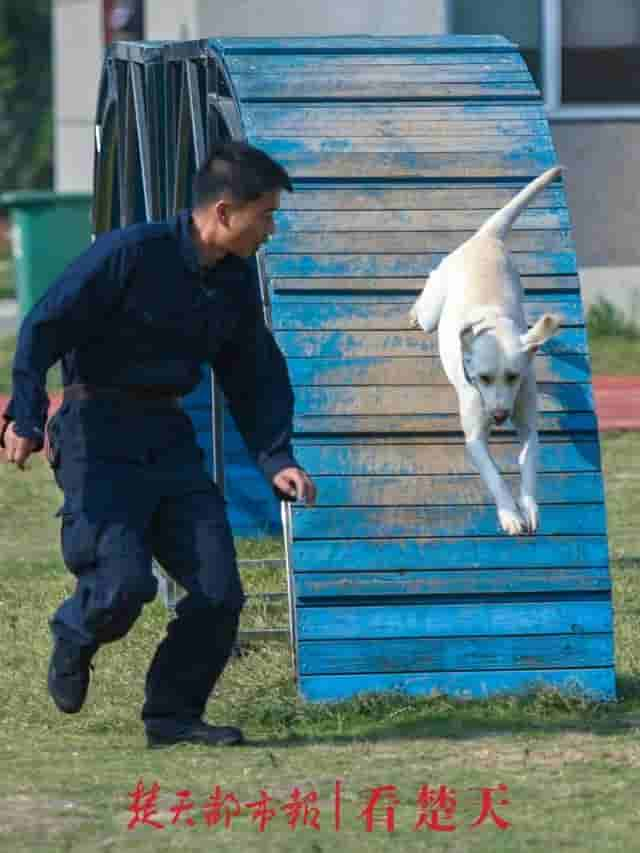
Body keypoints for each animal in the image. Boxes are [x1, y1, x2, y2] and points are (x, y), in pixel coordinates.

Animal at [410, 168, 564, 532]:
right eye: (482, 378)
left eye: (513, 376)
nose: (498, 416)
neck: (492, 324)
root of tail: (485, 237)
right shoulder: (475, 439)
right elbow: (494, 476)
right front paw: (510, 514)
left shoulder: (528, 424)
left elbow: (529, 465)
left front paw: (528, 507)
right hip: (432, 313)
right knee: (423, 304)